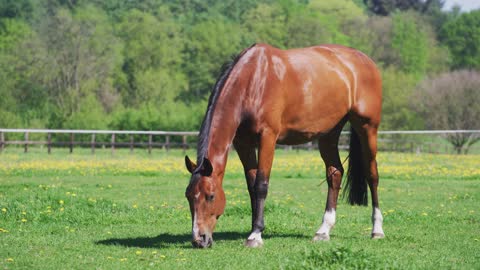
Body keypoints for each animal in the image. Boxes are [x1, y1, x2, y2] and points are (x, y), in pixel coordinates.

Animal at [185, 43, 386, 248]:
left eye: (211, 196)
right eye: (188, 196)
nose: (199, 239)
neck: (253, 82)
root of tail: (365, 60)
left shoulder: (268, 137)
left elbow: (261, 185)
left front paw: (255, 235)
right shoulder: (243, 142)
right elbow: (251, 185)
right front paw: (254, 227)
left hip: (367, 127)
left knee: (372, 175)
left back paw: (377, 229)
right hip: (329, 133)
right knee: (335, 174)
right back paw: (323, 230)